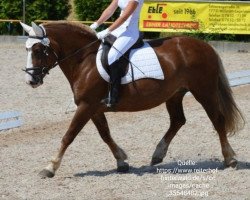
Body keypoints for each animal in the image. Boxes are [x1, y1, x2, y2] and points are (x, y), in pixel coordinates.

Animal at [20, 22, 243, 178]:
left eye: (38, 50)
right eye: (27, 50)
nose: (31, 80)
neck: (84, 60)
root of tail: (204, 46)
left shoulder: (86, 106)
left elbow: (68, 136)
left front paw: (49, 167)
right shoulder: (94, 108)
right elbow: (105, 134)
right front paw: (121, 161)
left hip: (204, 91)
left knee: (218, 120)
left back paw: (230, 158)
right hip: (174, 94)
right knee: (178, 121)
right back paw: (158, 154)